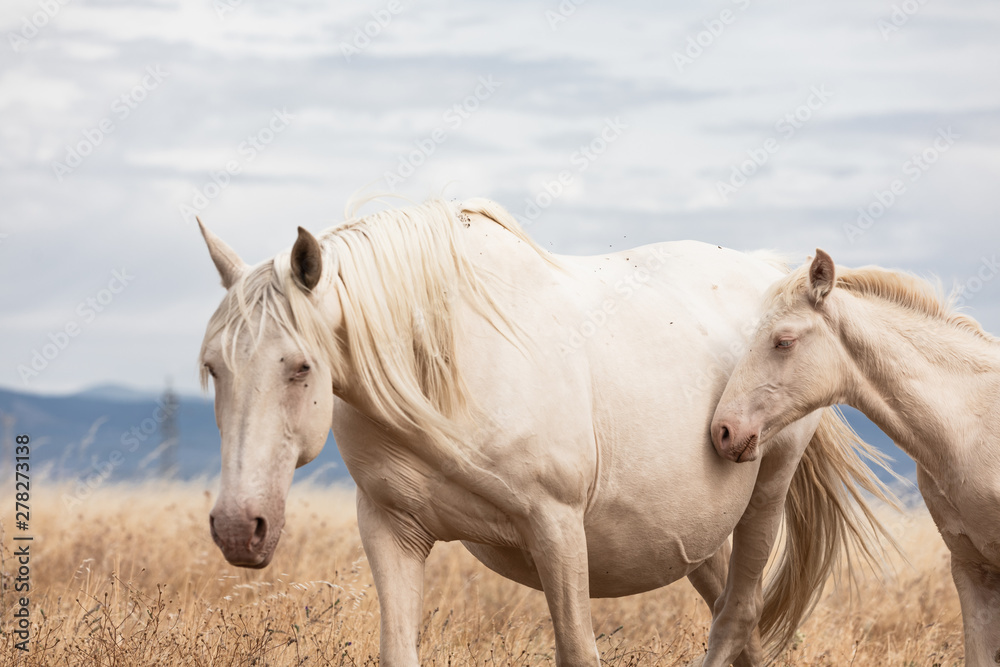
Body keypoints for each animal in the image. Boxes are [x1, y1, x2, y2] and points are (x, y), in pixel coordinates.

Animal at [197, 198, 895, 666]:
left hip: (765, 497)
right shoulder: (391, 529)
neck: (445, 371)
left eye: (300, 367)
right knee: (732, 615)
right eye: (212, 368)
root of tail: (773, 274)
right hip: (696, 537)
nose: (237, 528)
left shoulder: (555, 526)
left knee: (738, 615)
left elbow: (577, 650)